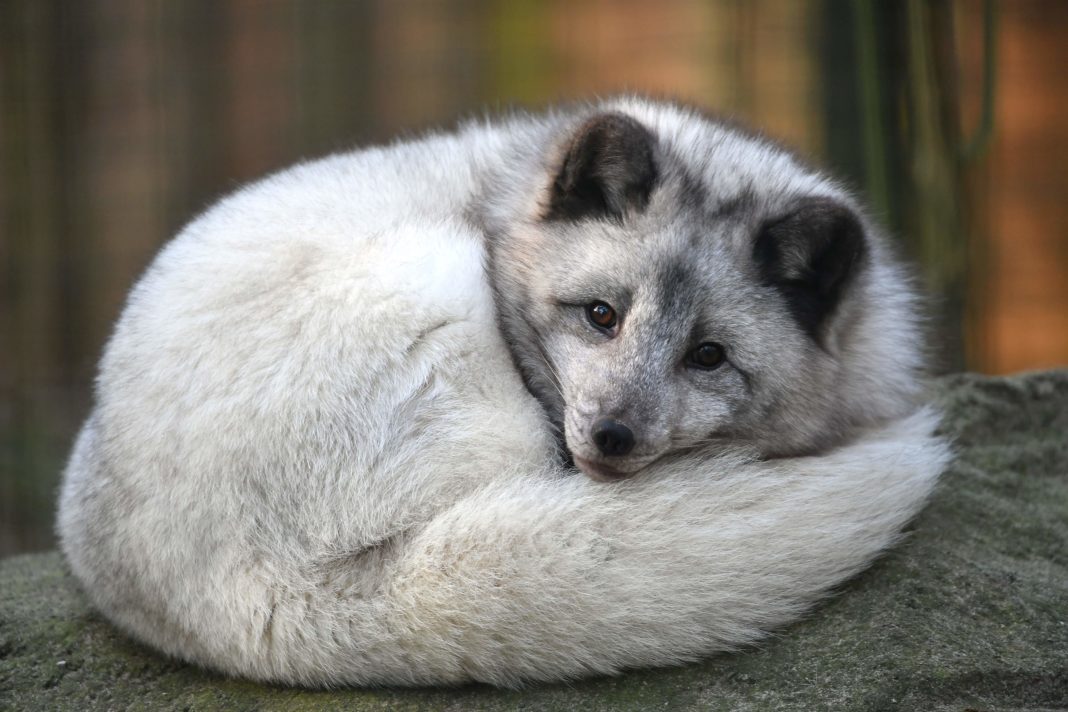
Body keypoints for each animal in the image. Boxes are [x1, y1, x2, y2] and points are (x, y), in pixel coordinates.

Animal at [56, 97, 952, 687]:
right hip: (437, 295)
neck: (495, 202)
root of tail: (237, 604)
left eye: (709, 356)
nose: (612, 436)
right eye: (601, 314)